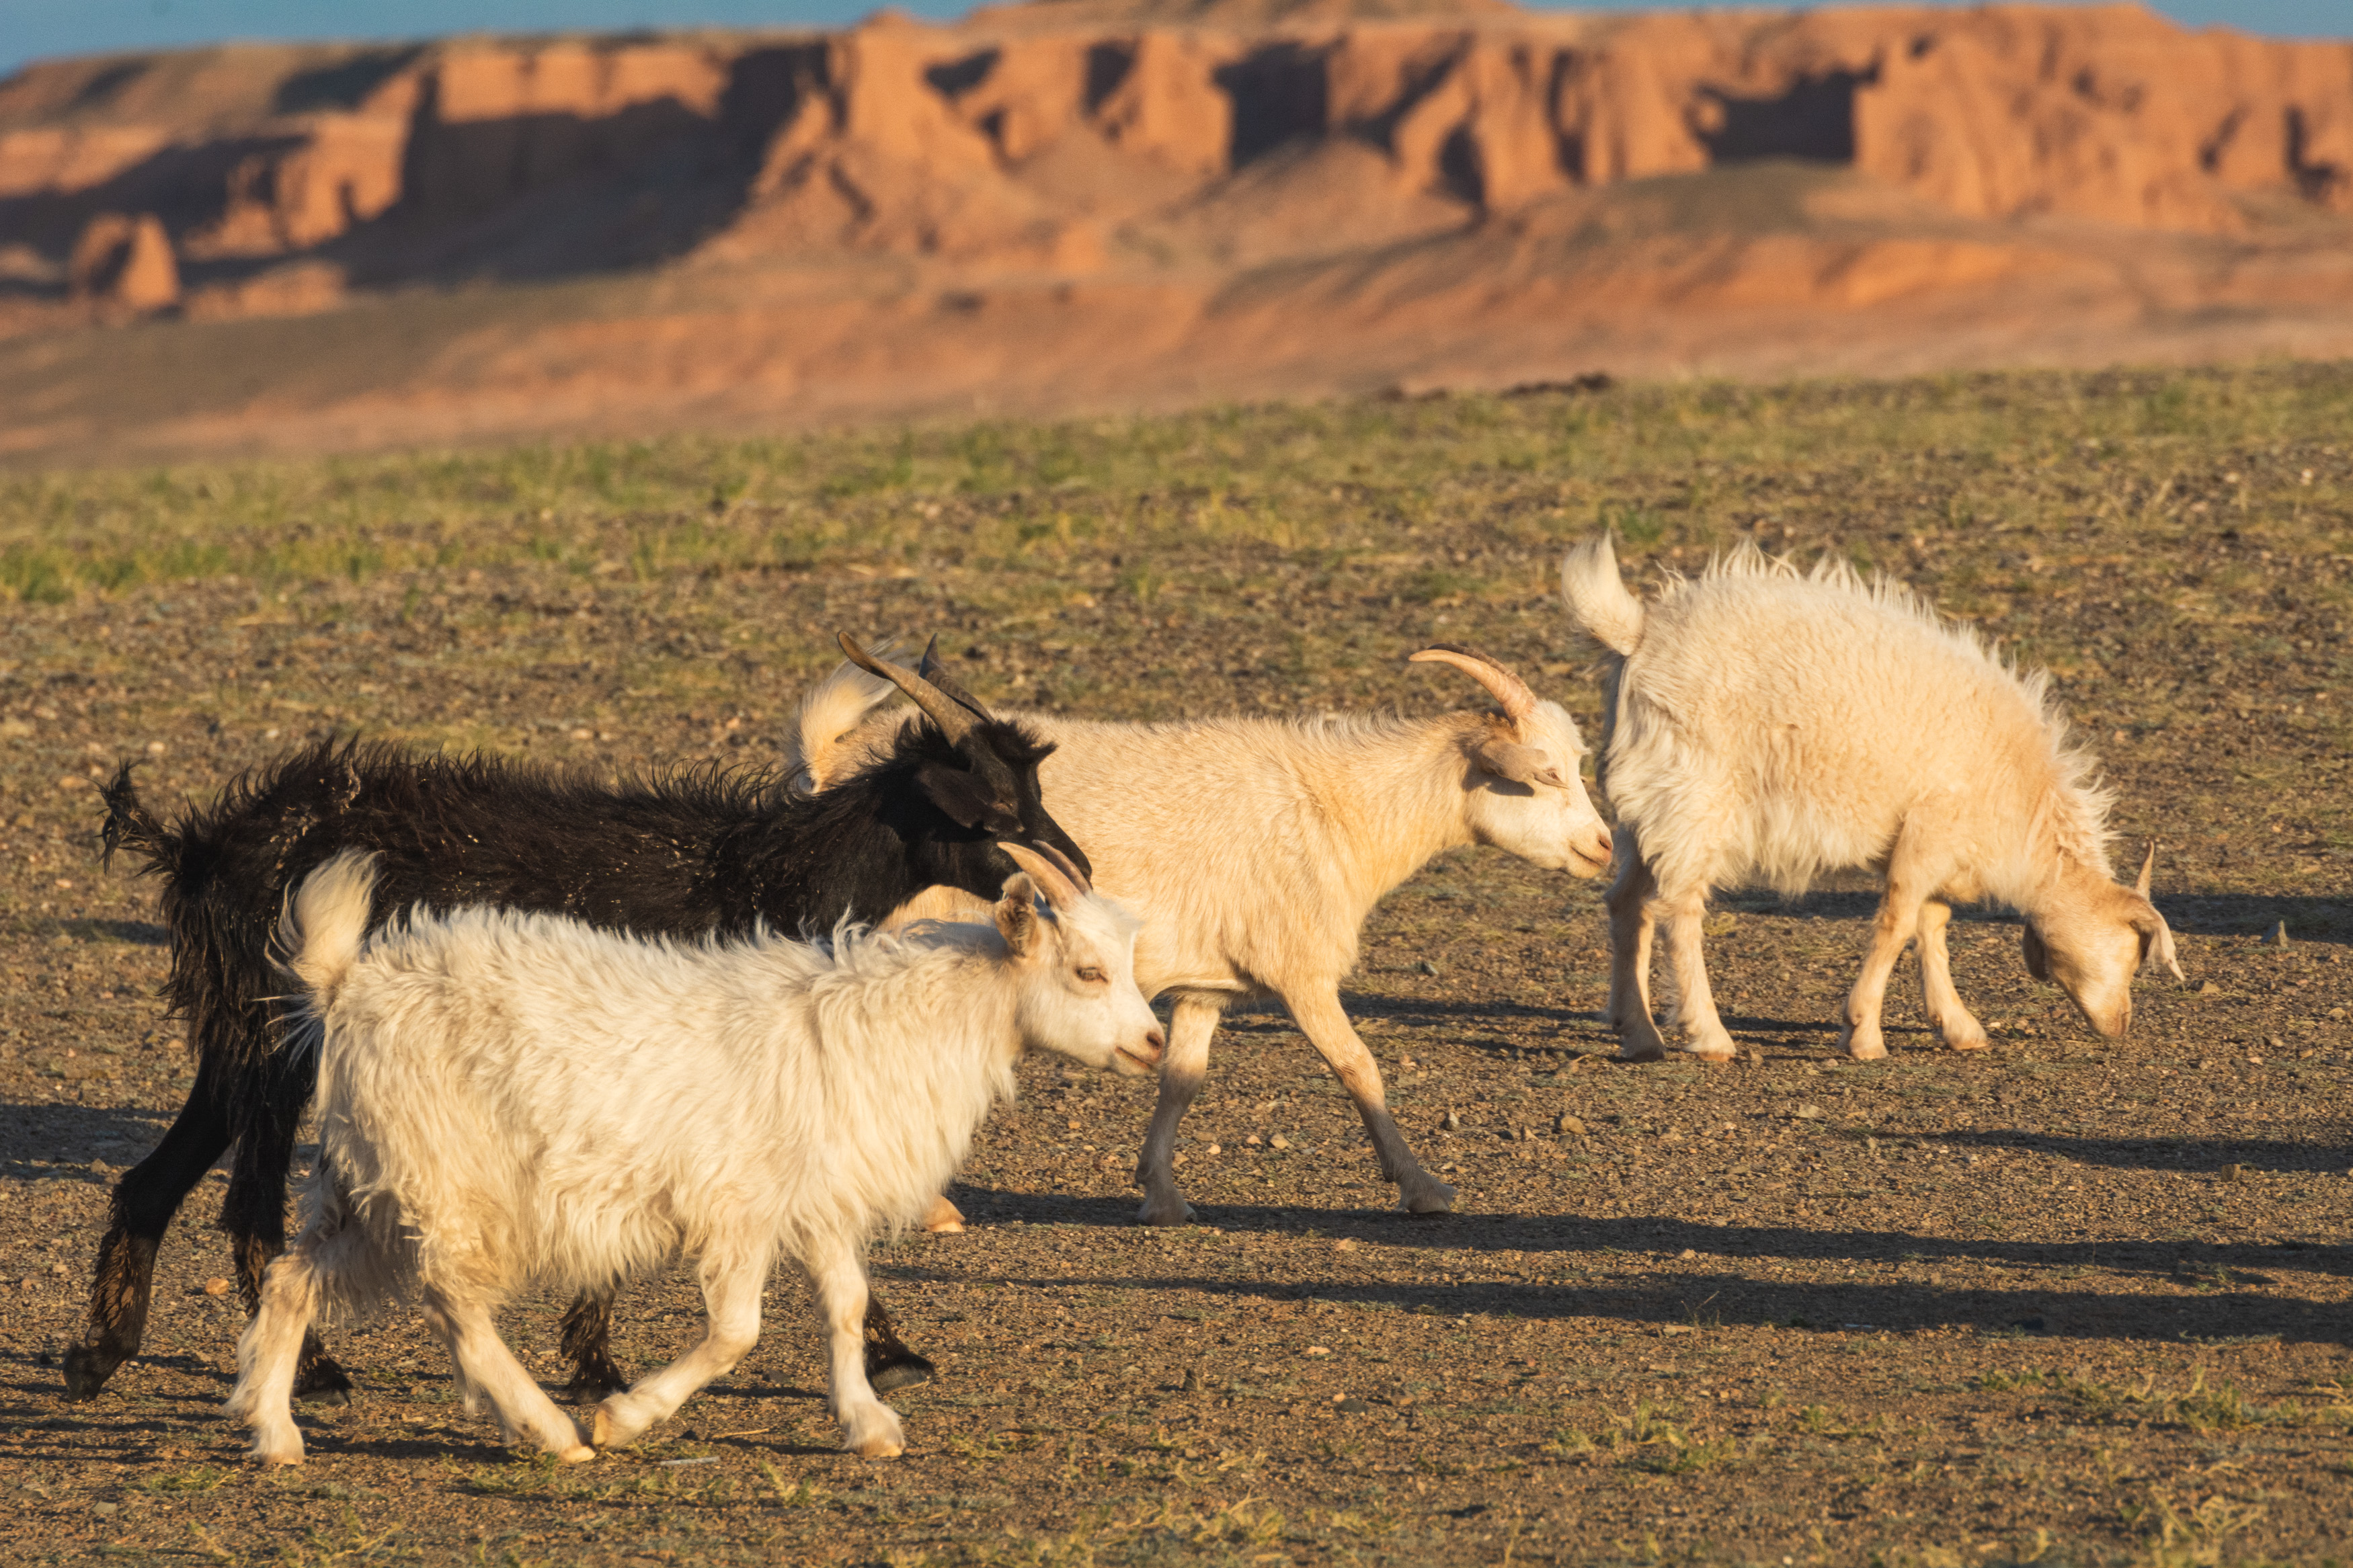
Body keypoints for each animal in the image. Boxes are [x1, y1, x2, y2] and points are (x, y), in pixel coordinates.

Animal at [62, 639, 1078, 1410]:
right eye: (991, 811)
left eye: (1034, 798)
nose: (1073, 878)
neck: (751, 875)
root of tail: (200, 849)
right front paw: (603, 1365)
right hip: (278, 1042)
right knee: (244, 1199)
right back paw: (311, 1372)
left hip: (236, 1035)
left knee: (153, 1180)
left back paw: (99, 1352)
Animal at [791, 639, 1619, 1222]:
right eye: (1546, 773)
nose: (1604, 846)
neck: (1336, 808)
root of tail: (832, 760)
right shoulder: (1299, 965)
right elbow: (1358, 1066)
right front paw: (1422, 1187)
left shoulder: (1207, 985)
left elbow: (1182, 1080)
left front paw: (1160, 1197)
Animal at [1562, 531, 2184, 1067]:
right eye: (2134, 952)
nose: (2121, 1025)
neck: (2024, 810)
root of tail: (1639, 633)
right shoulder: (1928, 834)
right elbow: (1897, 923)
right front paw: (1862, 1031)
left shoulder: (1938, 850)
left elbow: (1932, 928)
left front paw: (1957, 1024)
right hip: (1697, 795)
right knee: (1679, 912)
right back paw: (1708, 1034)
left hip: (1650, 804)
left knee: (1626, 903)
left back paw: (1638, 1031)